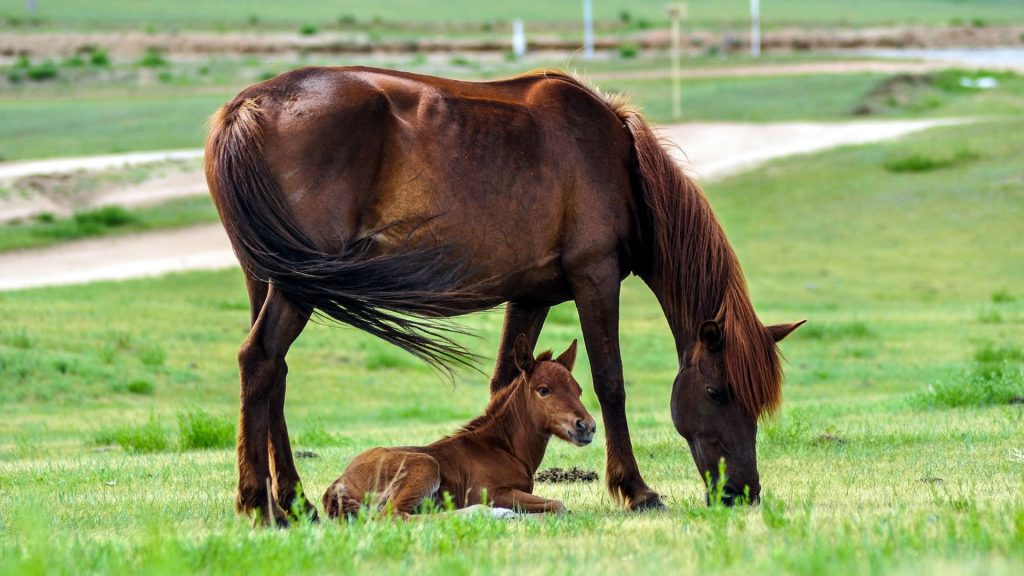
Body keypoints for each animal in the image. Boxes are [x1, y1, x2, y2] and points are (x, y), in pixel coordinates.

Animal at [323, 332, 598, 516]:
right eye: (543, 390)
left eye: (578, 390)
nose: (587, 426)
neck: (504, 448)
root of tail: (340, 481)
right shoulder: (493, 492)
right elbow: (558, 505)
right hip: (425, 466)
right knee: (393, 516)